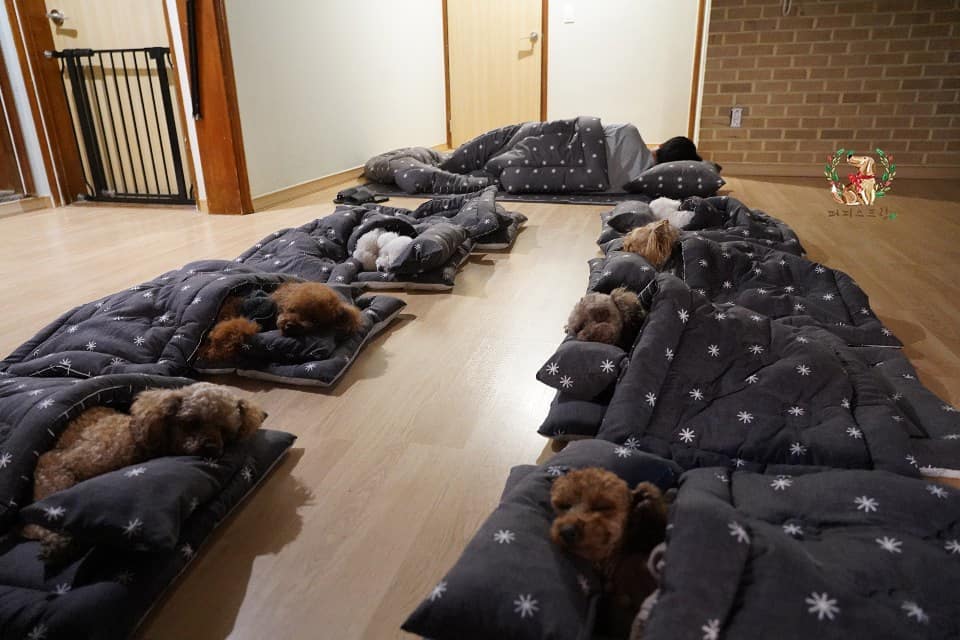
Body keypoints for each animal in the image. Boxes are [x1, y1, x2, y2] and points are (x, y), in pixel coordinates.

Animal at [26, 384, 266, 560]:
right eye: (192, 422)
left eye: (226, 431)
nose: (211, 448)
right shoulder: (55, 462)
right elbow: (49, 506)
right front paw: (55, 538)